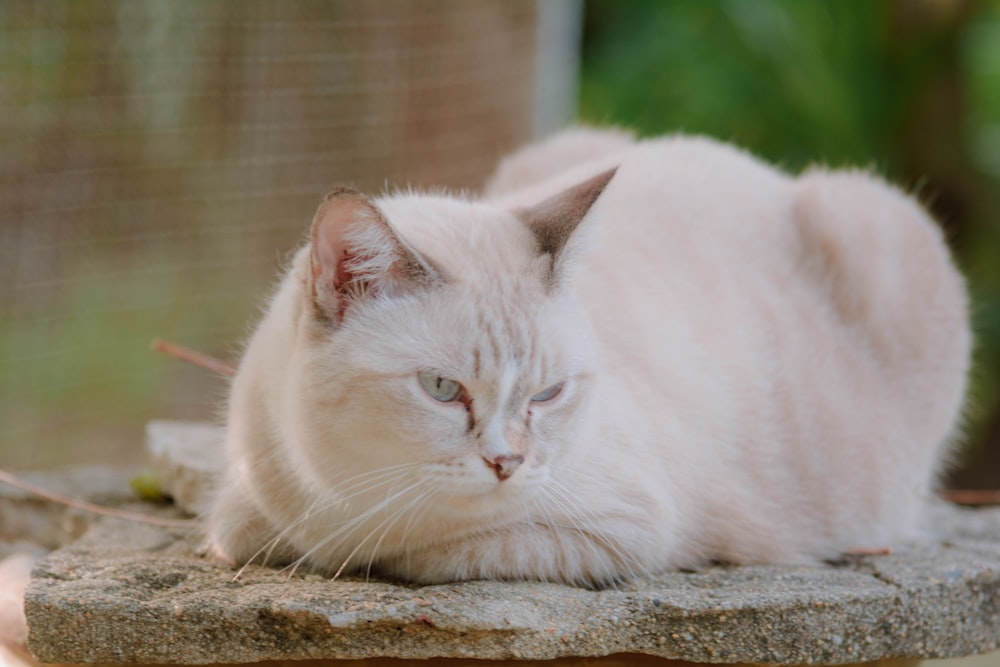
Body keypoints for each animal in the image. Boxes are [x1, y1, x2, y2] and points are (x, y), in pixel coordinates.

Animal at [209, 128, 968, 588]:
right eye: (441, 388)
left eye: (547, 395)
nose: (507, 462)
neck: (335, 498)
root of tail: (768, 172)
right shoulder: (243, 509)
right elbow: (241, 529)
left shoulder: (624, 529)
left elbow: (420, 552)